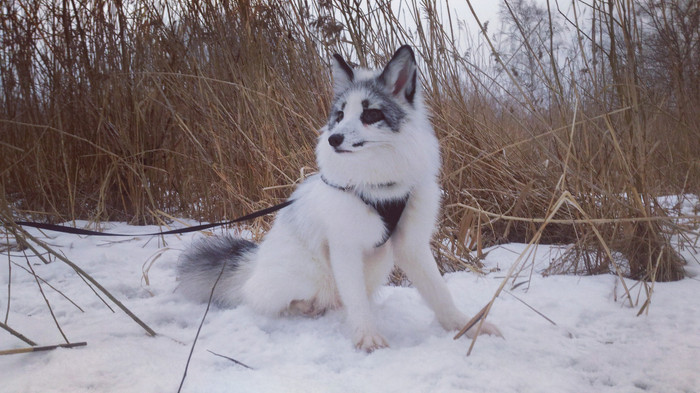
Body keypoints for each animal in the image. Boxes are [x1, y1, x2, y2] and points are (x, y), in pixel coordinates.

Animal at [178, 45, 500, 350]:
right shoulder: (345, 247)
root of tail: (252, 264)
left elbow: (439, 293)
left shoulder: (411, 246)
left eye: (371, 114)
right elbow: (356, 302)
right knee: (271, 301)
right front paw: (367, 338)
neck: (379, 185)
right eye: (340, 115)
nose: (334, 139)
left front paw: (465, 327)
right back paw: (307, 308)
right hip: (310, 274)